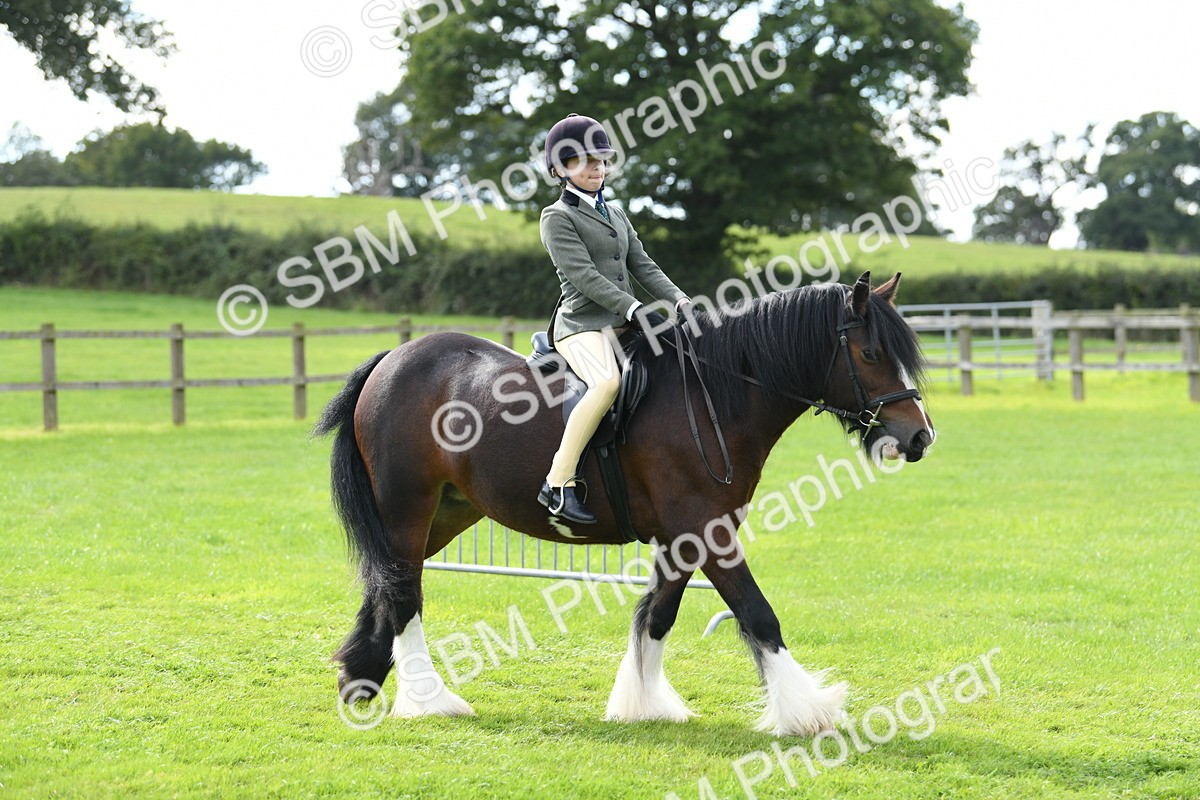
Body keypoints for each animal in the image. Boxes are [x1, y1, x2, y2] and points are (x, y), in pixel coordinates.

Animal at [314, 271, 934, 736]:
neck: (712, 396)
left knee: (388, 585)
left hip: (445, 512)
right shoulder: (706, 531)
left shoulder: (684, 537)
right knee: (403, 595)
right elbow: (758, 614)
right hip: (406, 507)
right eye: (871, 353)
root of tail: (393, 359)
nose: (919, 438)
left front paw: (642, 704)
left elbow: (659, 615)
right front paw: (807, 712)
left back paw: (361, 677)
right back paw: (430, 700)